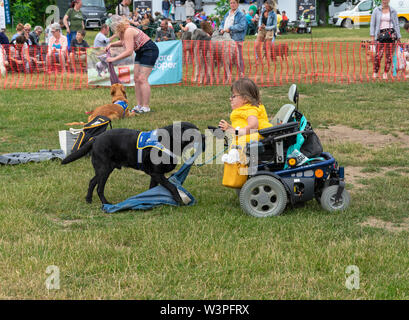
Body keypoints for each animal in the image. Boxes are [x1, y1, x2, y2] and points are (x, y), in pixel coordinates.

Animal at [61, 121, 204, 206]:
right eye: (193, 132)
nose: (204, 137)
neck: (169, 142)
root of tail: (96, 138)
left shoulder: (154, 175)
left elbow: (152, 189)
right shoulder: (157, 173)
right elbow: (172, 187)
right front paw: (179, 201)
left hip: (104, 169)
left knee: (92, 182)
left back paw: (89, 200)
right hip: (104, 169)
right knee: (99, 188)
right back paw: (106, 203)